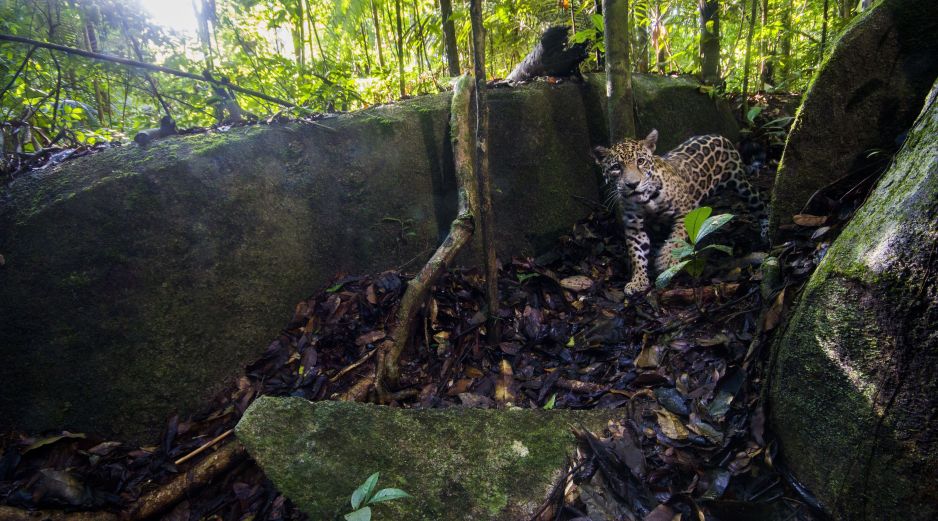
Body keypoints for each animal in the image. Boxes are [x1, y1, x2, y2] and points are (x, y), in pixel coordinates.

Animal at [593, 129, 768, 296]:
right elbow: (637, 253)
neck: (647, 200)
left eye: (640, 161)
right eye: (616, 167)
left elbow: (676, 239)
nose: (633, 184)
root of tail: (717, 135)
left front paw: (666, 260)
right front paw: (638, 280)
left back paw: (766, 229)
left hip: (741, 184)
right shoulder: (634, 226)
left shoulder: (685, 212)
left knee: (759, 204)